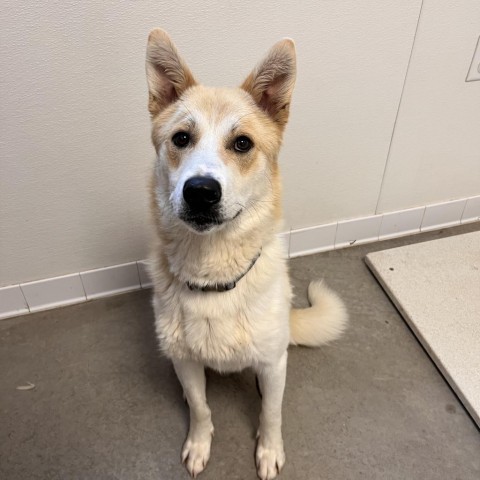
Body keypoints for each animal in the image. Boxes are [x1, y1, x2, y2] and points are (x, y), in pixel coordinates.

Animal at [144, 30, 346, 480]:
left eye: (242, 144)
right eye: (181, 138)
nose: (201, 191)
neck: (213, 277)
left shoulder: (272, 365)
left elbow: (271, 412)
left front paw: (269, 451)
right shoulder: (186, 363)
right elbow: (200, 407)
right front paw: (199, 444)